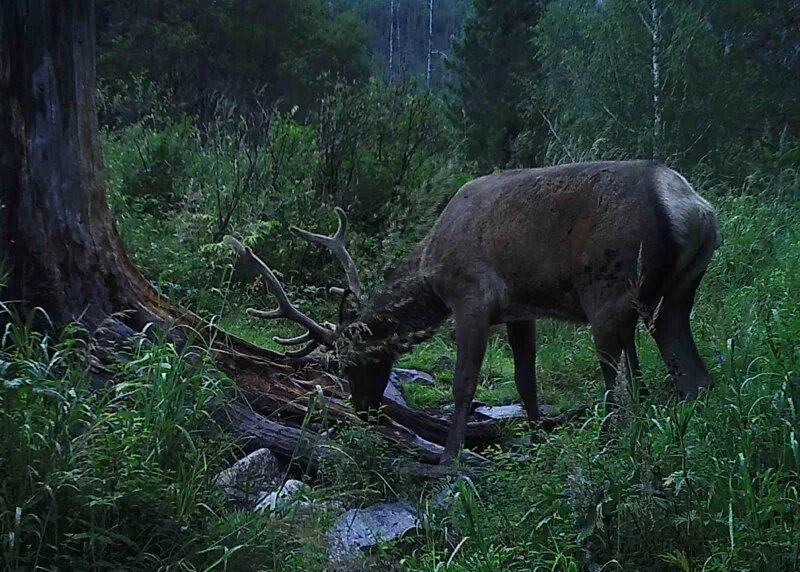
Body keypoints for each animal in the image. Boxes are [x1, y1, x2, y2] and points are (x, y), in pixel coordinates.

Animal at [225, 159, 720, 462]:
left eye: (349, 362)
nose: (362, 412)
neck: (432, 271)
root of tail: (693, 208)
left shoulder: (472, 299)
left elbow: (464, 383)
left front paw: (449, 455)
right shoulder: (521, 310)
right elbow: (525, 380)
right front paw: (536, 437)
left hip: (610, 294)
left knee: (623, 388)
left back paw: (607, 447)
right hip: (673, 297)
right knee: (691, 378)